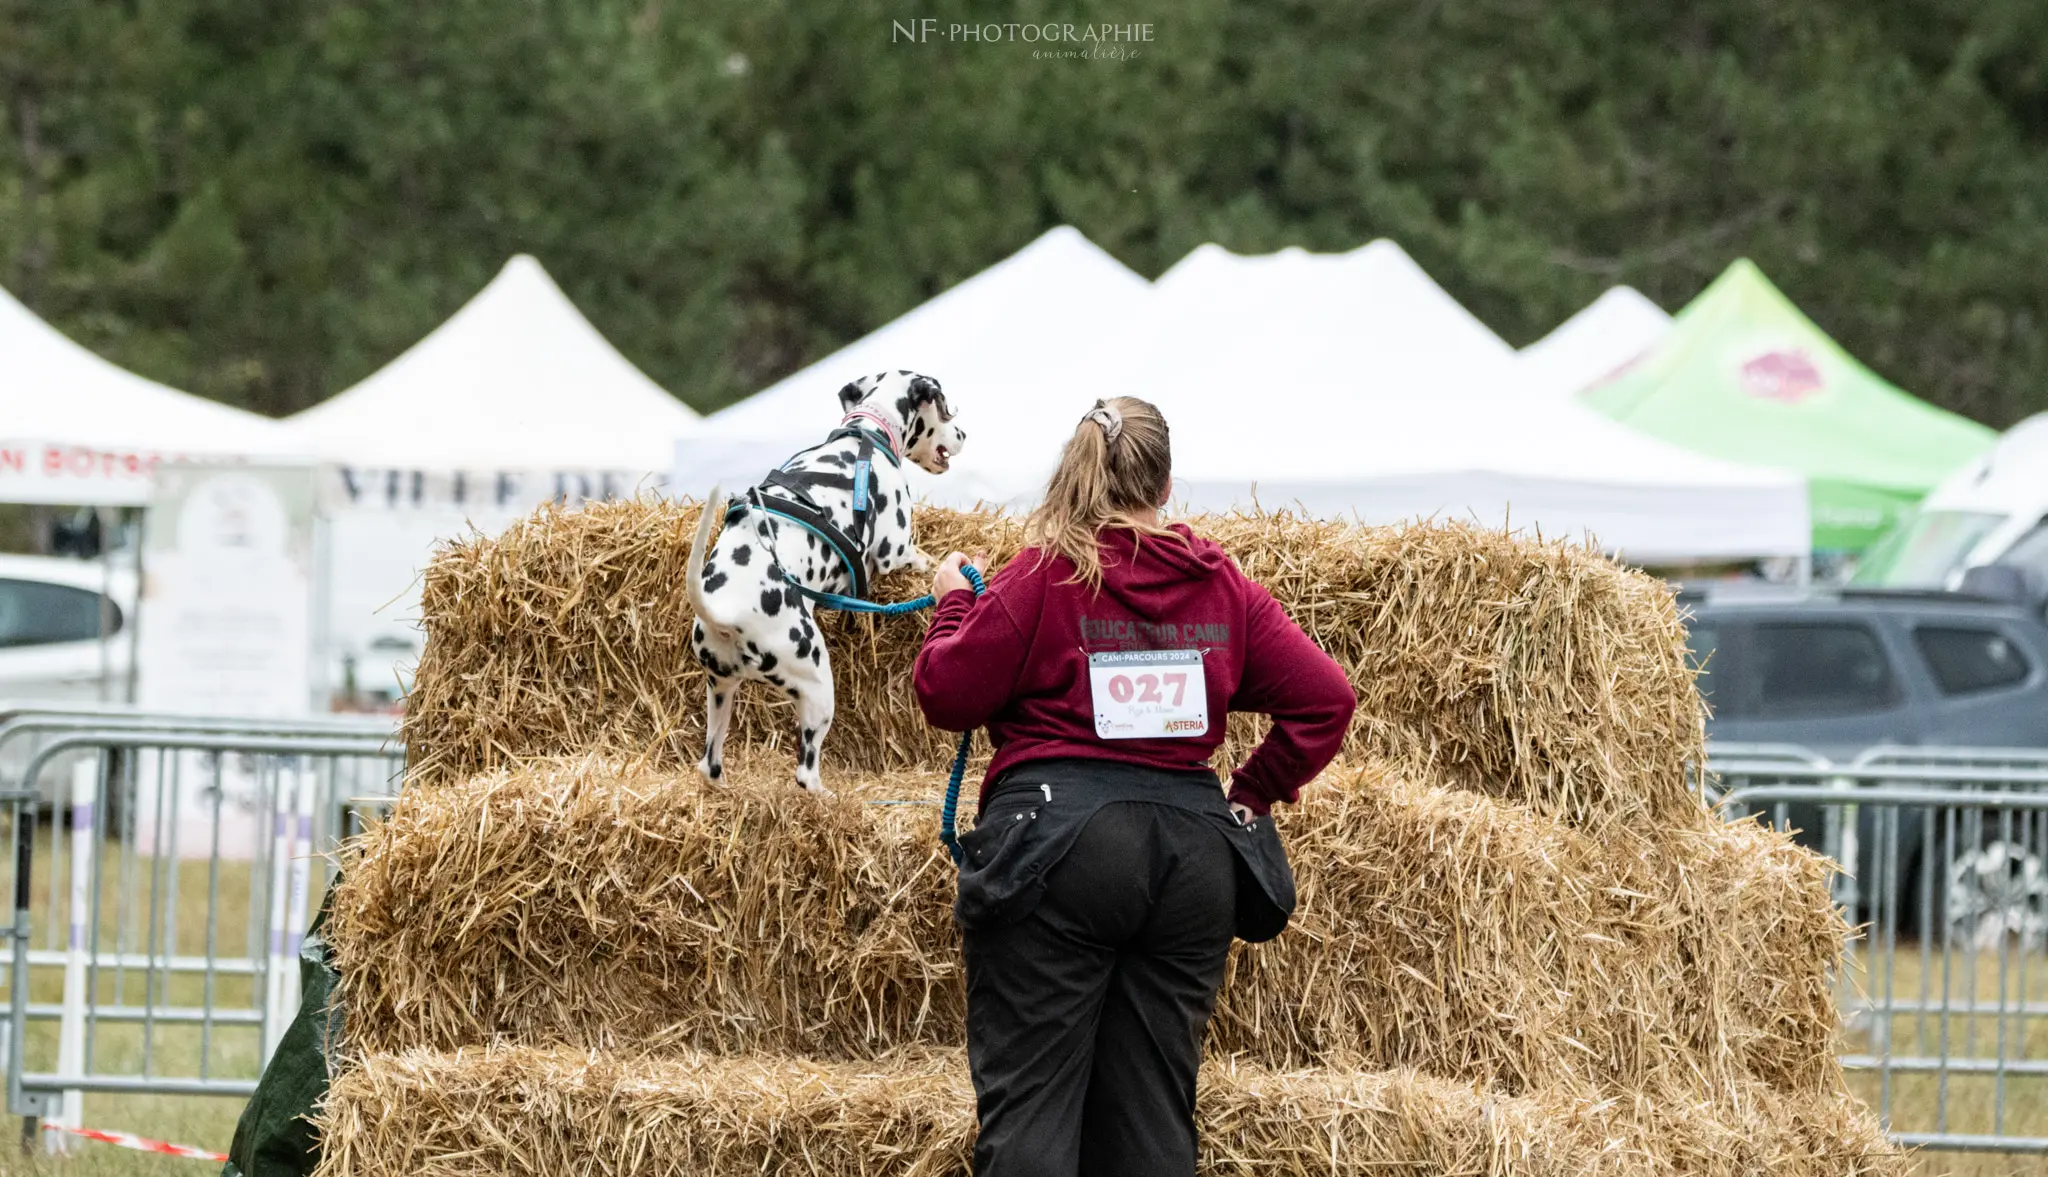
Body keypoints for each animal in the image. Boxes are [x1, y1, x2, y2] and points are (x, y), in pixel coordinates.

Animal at [688, 370, 966, 794]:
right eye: (945, 405)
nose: (964, 434)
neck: (867, 433)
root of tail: (725, 613)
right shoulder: (896, 550)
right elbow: (923, 560)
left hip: (721, 691)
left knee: (710, 764)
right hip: (818, 686)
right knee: (805, 770)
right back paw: (829, 797)